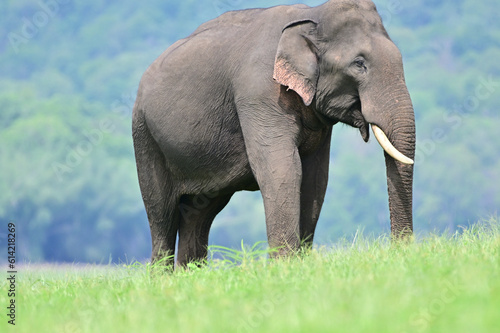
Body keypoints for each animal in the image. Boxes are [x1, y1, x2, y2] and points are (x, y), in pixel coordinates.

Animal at [132, 0, 414, 266]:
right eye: (359, 64)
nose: (400, 250)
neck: (312, 15)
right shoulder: (260, 93)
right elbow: (283, 168)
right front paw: (285, 265)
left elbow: (315, 177)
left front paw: (300, 263)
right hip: (144, 135)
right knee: (161, 213)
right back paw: (162, 277)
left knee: (200, 212)